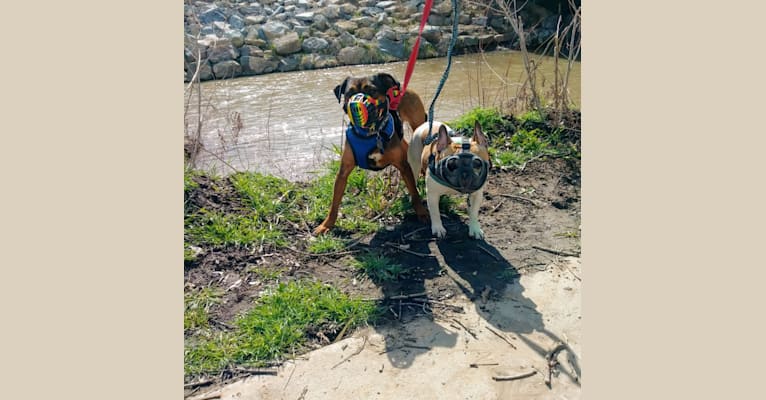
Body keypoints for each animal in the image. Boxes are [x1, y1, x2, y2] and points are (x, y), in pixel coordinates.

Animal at [314, 72, 432, 234]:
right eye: (349, 92)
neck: (369, 134)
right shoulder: (343, 172)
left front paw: (421, 212)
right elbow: (334, 202)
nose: (356, 102)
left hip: (417, 124)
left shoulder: (402, 166)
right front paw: (326, 225)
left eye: (371, 90)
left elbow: (414, 192)